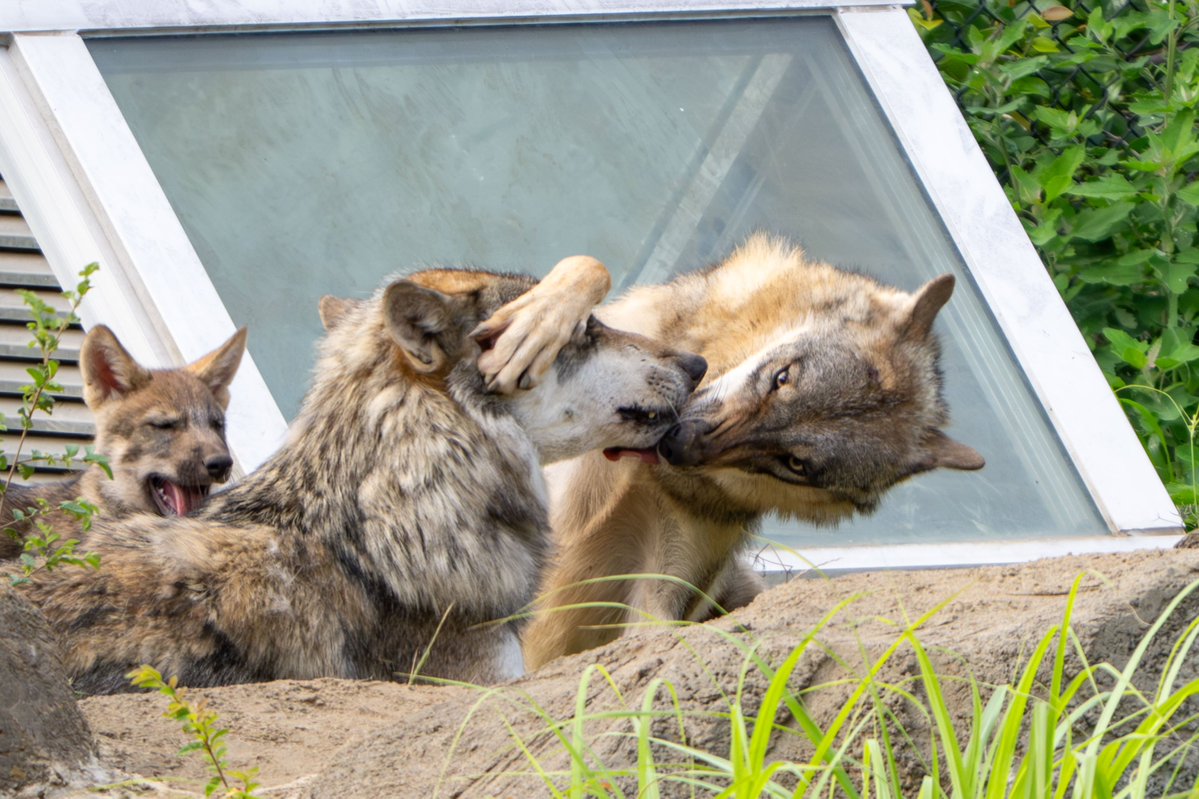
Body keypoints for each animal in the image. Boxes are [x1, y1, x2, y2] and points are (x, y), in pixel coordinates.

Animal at [524, 234, 985, 669]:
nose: (677, 445)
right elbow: (586, 269)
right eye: (782, 378)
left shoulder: (664, 587)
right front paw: (538, 322)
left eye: (794, 463)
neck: (654, 478)